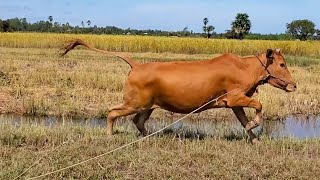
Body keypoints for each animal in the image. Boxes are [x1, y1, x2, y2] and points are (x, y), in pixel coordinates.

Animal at [61, 39, 296, 143]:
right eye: (282, 64)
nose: (294, 85)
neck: (244, 67)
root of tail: (137, 65)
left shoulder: (234, 103)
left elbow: (244, 122)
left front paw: (254, 138)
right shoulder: (234, 97)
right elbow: (259, 105)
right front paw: (256, 124)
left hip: (148, 106)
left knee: (138, 121)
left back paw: (150, 137)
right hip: (134, 103)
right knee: (112, 112)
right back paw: (110, 136)